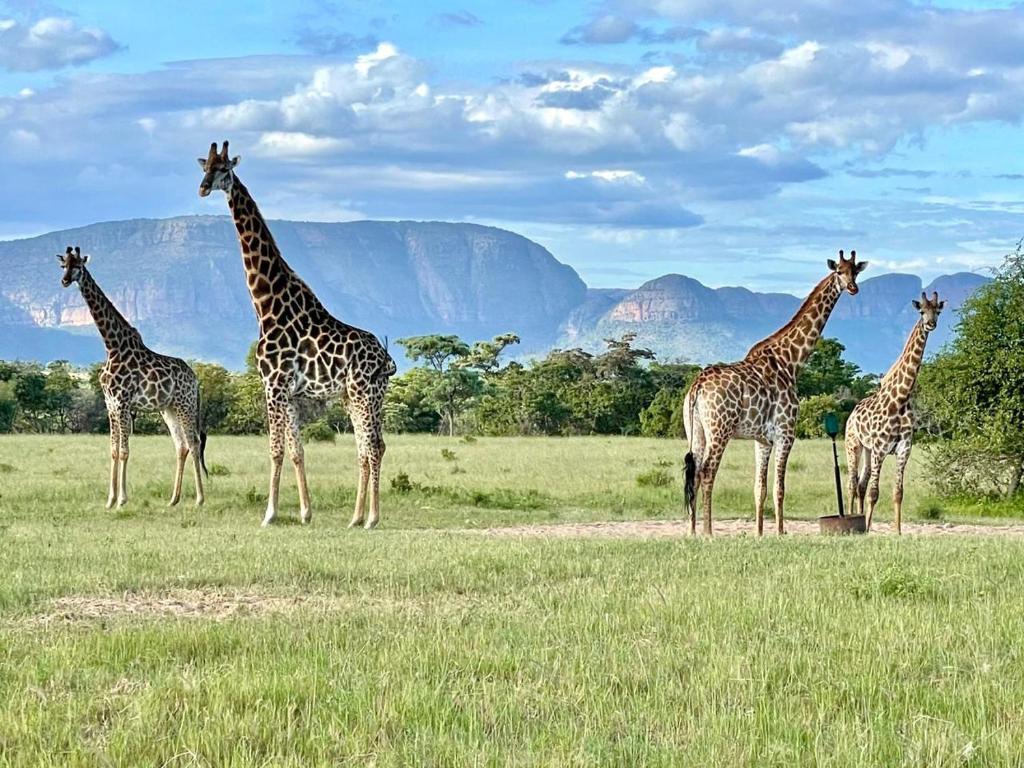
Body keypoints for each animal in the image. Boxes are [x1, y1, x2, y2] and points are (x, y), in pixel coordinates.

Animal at [57, 247, 207, 512]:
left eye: (78, 266)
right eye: (64, 264)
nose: (64, 281)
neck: (112, 346)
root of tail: (195, 379)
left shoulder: (123, 402)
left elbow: (125, 451)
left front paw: (122, 499)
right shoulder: (110, 405)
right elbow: (113, 450)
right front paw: (110, 499)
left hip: (185, 404)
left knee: (194, 442)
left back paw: (199, 499)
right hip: (168, 409)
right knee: (181, 445)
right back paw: (173, 499)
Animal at [195, 140, 395, 528]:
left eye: (224, 169)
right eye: (205, 167)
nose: (203, 188)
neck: (266, 305)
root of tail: (386, 357)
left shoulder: (273, 385)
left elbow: (275, 450)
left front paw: (270, 513)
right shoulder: (288, 393)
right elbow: (297, 450)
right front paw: (304, 512)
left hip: (364, 393)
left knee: (373, 446)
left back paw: (372, 518)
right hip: (356, 397)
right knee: (366, 448)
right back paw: (355, 517)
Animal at [684, 250, 868, 536]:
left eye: (855, 271)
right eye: (839, 271)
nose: (852, 288)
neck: (790, 361)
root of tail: (697, 386)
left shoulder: (762, 440)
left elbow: (759, 489)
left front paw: (760, 533)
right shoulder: (786, 432)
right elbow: (779, 488)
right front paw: (781, 532)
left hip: (695, 430)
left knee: (693, 472)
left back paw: (692, 531)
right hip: (720, 429)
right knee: (707, 472)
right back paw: (708, 532)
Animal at [843, 290, 946, 532]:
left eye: (937, 311)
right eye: (921, 311)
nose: (931, 324)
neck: (900, 399)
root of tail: (851, 415)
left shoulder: (903, 449)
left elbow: (898, 493)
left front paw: (897, 531)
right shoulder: (881, 449)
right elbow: (874, 493)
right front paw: (868, 529)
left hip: (868, 450)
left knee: (860, 484)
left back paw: (860, 518)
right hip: (854, 445)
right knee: (852, 483)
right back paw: (853, 518)